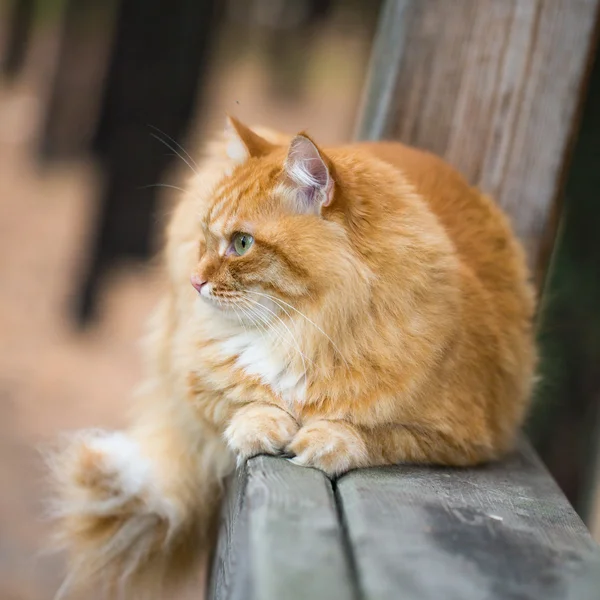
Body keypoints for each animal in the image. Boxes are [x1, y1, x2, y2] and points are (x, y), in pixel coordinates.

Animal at [50, 116, 536, 596]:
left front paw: (323, 439)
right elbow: (245, 403)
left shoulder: (463, 436)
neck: (301, 330)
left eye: (242, 244)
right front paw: (263, 426)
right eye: (206, 238)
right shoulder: (195, 383)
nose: (195, 281)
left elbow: (373, 434)